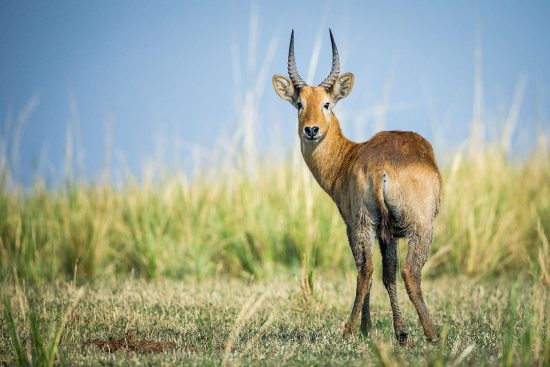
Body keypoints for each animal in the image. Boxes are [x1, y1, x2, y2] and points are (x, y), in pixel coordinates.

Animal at [272, 30, 444, 344]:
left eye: (326, 103)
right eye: (300, 103)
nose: (311, 129)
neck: (350, 154)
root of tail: (380, 166)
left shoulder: (380, 231)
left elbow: (386, 273)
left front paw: (398, 331)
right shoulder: (375, 229)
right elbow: (387, 272)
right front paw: (394, 331)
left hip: (370, 225)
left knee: (370, 269)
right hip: (409, 227)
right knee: (399, 271)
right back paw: (426, 332)